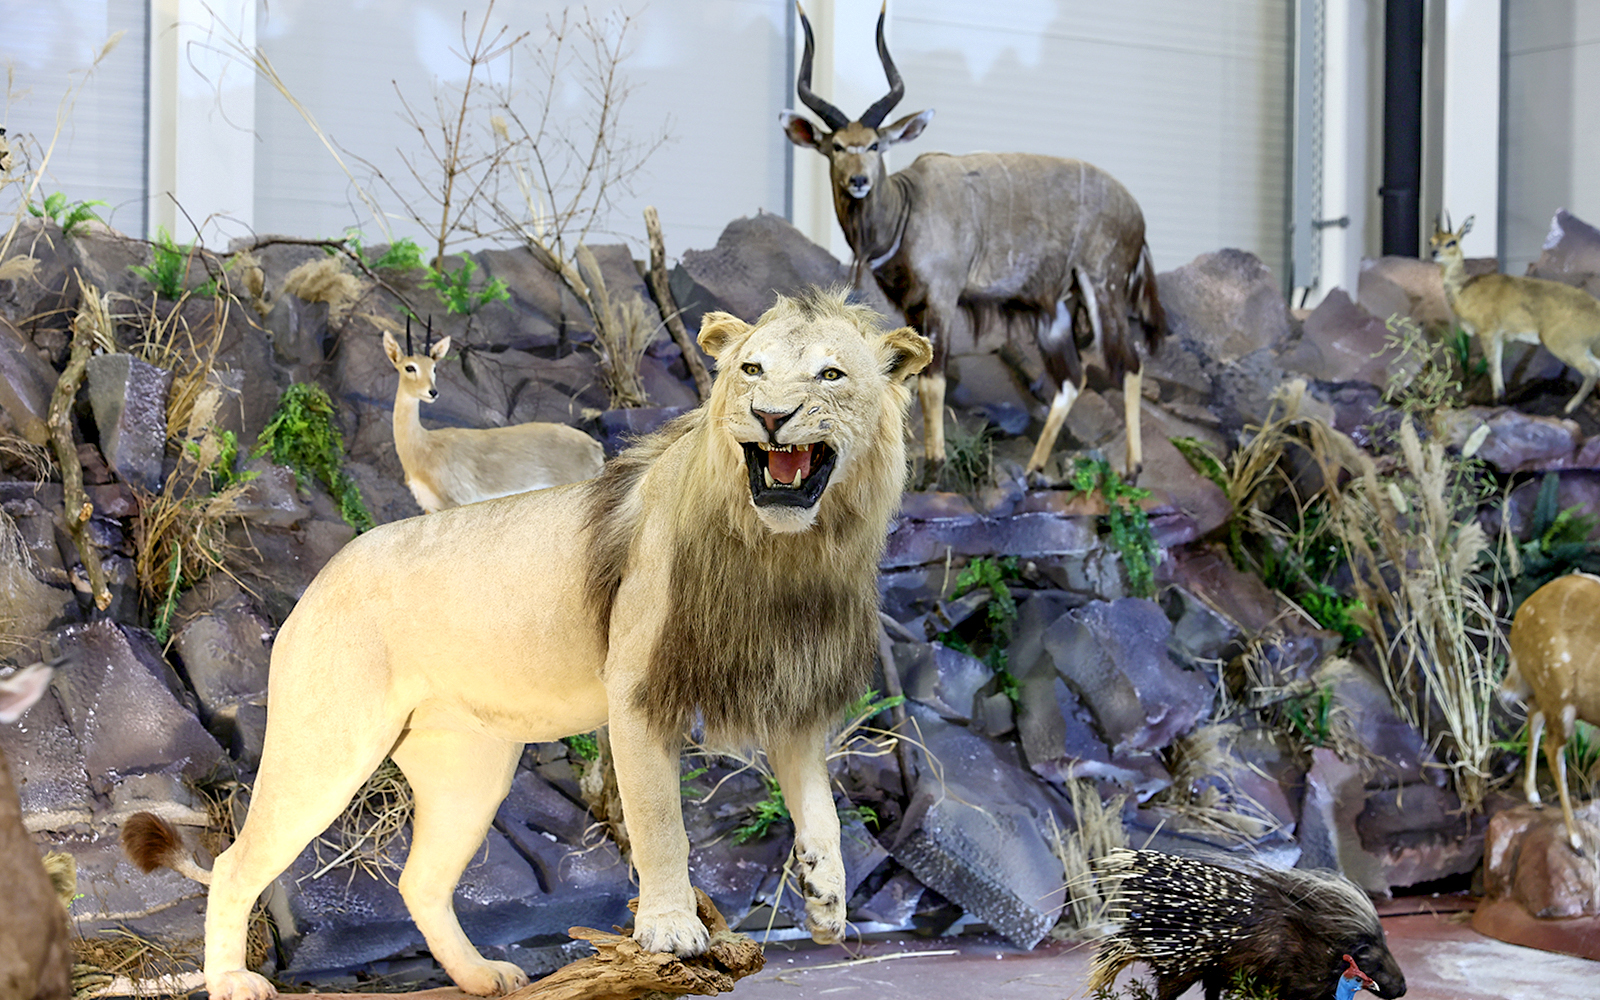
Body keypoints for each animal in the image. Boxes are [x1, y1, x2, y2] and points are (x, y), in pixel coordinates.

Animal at [384, 325, 604, 513]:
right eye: (409, 367)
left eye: (434, 367)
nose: (432, 392)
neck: (422, 447)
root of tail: (595, 446)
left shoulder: (457, 503)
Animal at [779, 3, 1164, 481]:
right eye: (834, 147)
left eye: (874, 144)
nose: (858, 182)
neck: (905, 208)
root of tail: (1137, 213)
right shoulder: (914, 307)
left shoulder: (942, 299)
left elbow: (932, 380)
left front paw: (934, 466)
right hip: (1054, 310)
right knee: (1072, 380)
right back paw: (1035, 470)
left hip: (1103, 287)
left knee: (1128, 363)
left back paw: (1132, 468)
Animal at [1431, 213, 1600, 413]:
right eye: (1431, 241)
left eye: (1452, 242)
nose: (1434, 253)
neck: (1464, 290)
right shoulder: (1499, 336)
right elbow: (1496, 366)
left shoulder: (1488, 331)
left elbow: (1493, 366)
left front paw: (1496, 400)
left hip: (1565, 344)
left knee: (1592, 371)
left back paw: (1569, 408)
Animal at [1505, 572, 1600, 852]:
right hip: (1560, 694)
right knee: (1553, 749)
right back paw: (1575, 838)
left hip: (1548, 692)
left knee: (1534, 716)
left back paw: (1534, 797)